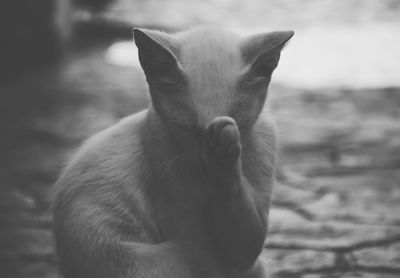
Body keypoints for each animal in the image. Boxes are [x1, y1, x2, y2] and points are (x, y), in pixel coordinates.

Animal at [51, 26, 292, 278]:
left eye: (237, 123)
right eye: (187, 129)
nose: (206, 158)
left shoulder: (247, 239)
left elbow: (244, 243)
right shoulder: (191, 233)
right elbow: (213, 261)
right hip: (170, 255)